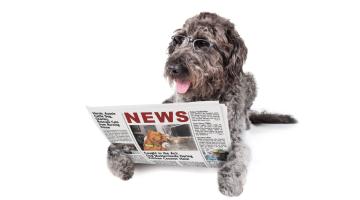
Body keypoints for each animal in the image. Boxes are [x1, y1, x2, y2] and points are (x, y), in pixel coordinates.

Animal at [107, 12, 296, 197]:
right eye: (178, 39)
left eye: (202, 43)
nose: (173, 68)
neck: (205, 95)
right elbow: (112, 146)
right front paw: (121, 161)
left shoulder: (235, 138)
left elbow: (236, 158)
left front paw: (230, 181)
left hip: (250, 80)